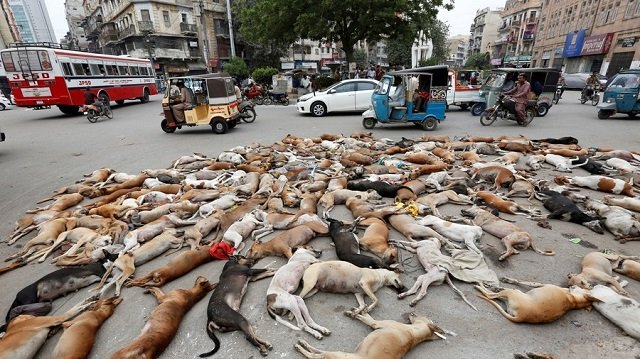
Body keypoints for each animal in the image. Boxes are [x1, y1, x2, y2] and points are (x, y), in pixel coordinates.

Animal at [296, 312, 444, 359]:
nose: (412, 312)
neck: (414, 334)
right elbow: (366, 314)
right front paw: (357, 310)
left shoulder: (376, 323)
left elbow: (366, 317)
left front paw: (354, 313)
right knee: (317, 352)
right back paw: (302, 344)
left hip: (338, 354)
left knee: (314, 354)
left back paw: (300, 346)